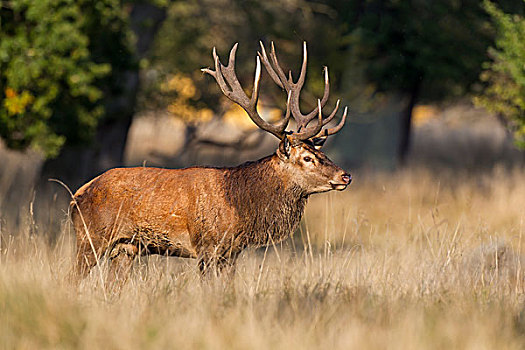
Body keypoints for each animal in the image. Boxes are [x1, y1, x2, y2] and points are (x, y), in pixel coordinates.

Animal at [68, 42, 348, 286]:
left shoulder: (232, 252)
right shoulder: (207, 246)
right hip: (90, 238)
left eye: (319, 151)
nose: (345, 176)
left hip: (126, 248)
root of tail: (78, 194)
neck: (240, 206)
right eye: (307, 158)